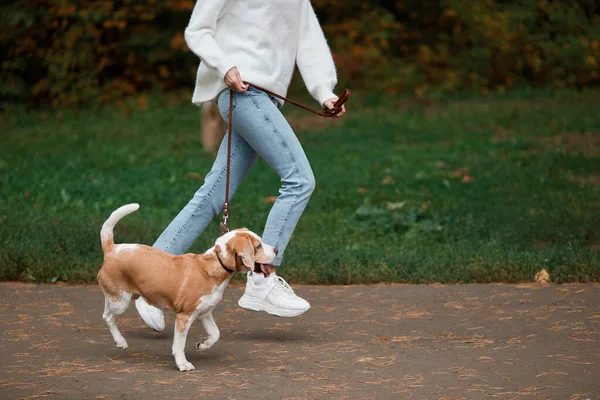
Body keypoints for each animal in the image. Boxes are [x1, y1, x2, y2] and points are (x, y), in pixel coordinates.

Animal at [97, 203, 278, 372]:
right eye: (258, 246)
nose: (276, 249)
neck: (215, 262)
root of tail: (111, 248)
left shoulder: (205, 313)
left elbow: (215, 334)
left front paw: (202, 345)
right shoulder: (184, 317)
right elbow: (179, 345)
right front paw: (182, 364)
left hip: (120, 298)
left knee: (107, 309)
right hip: (121, 301)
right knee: (107, 316)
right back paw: (120, 341)